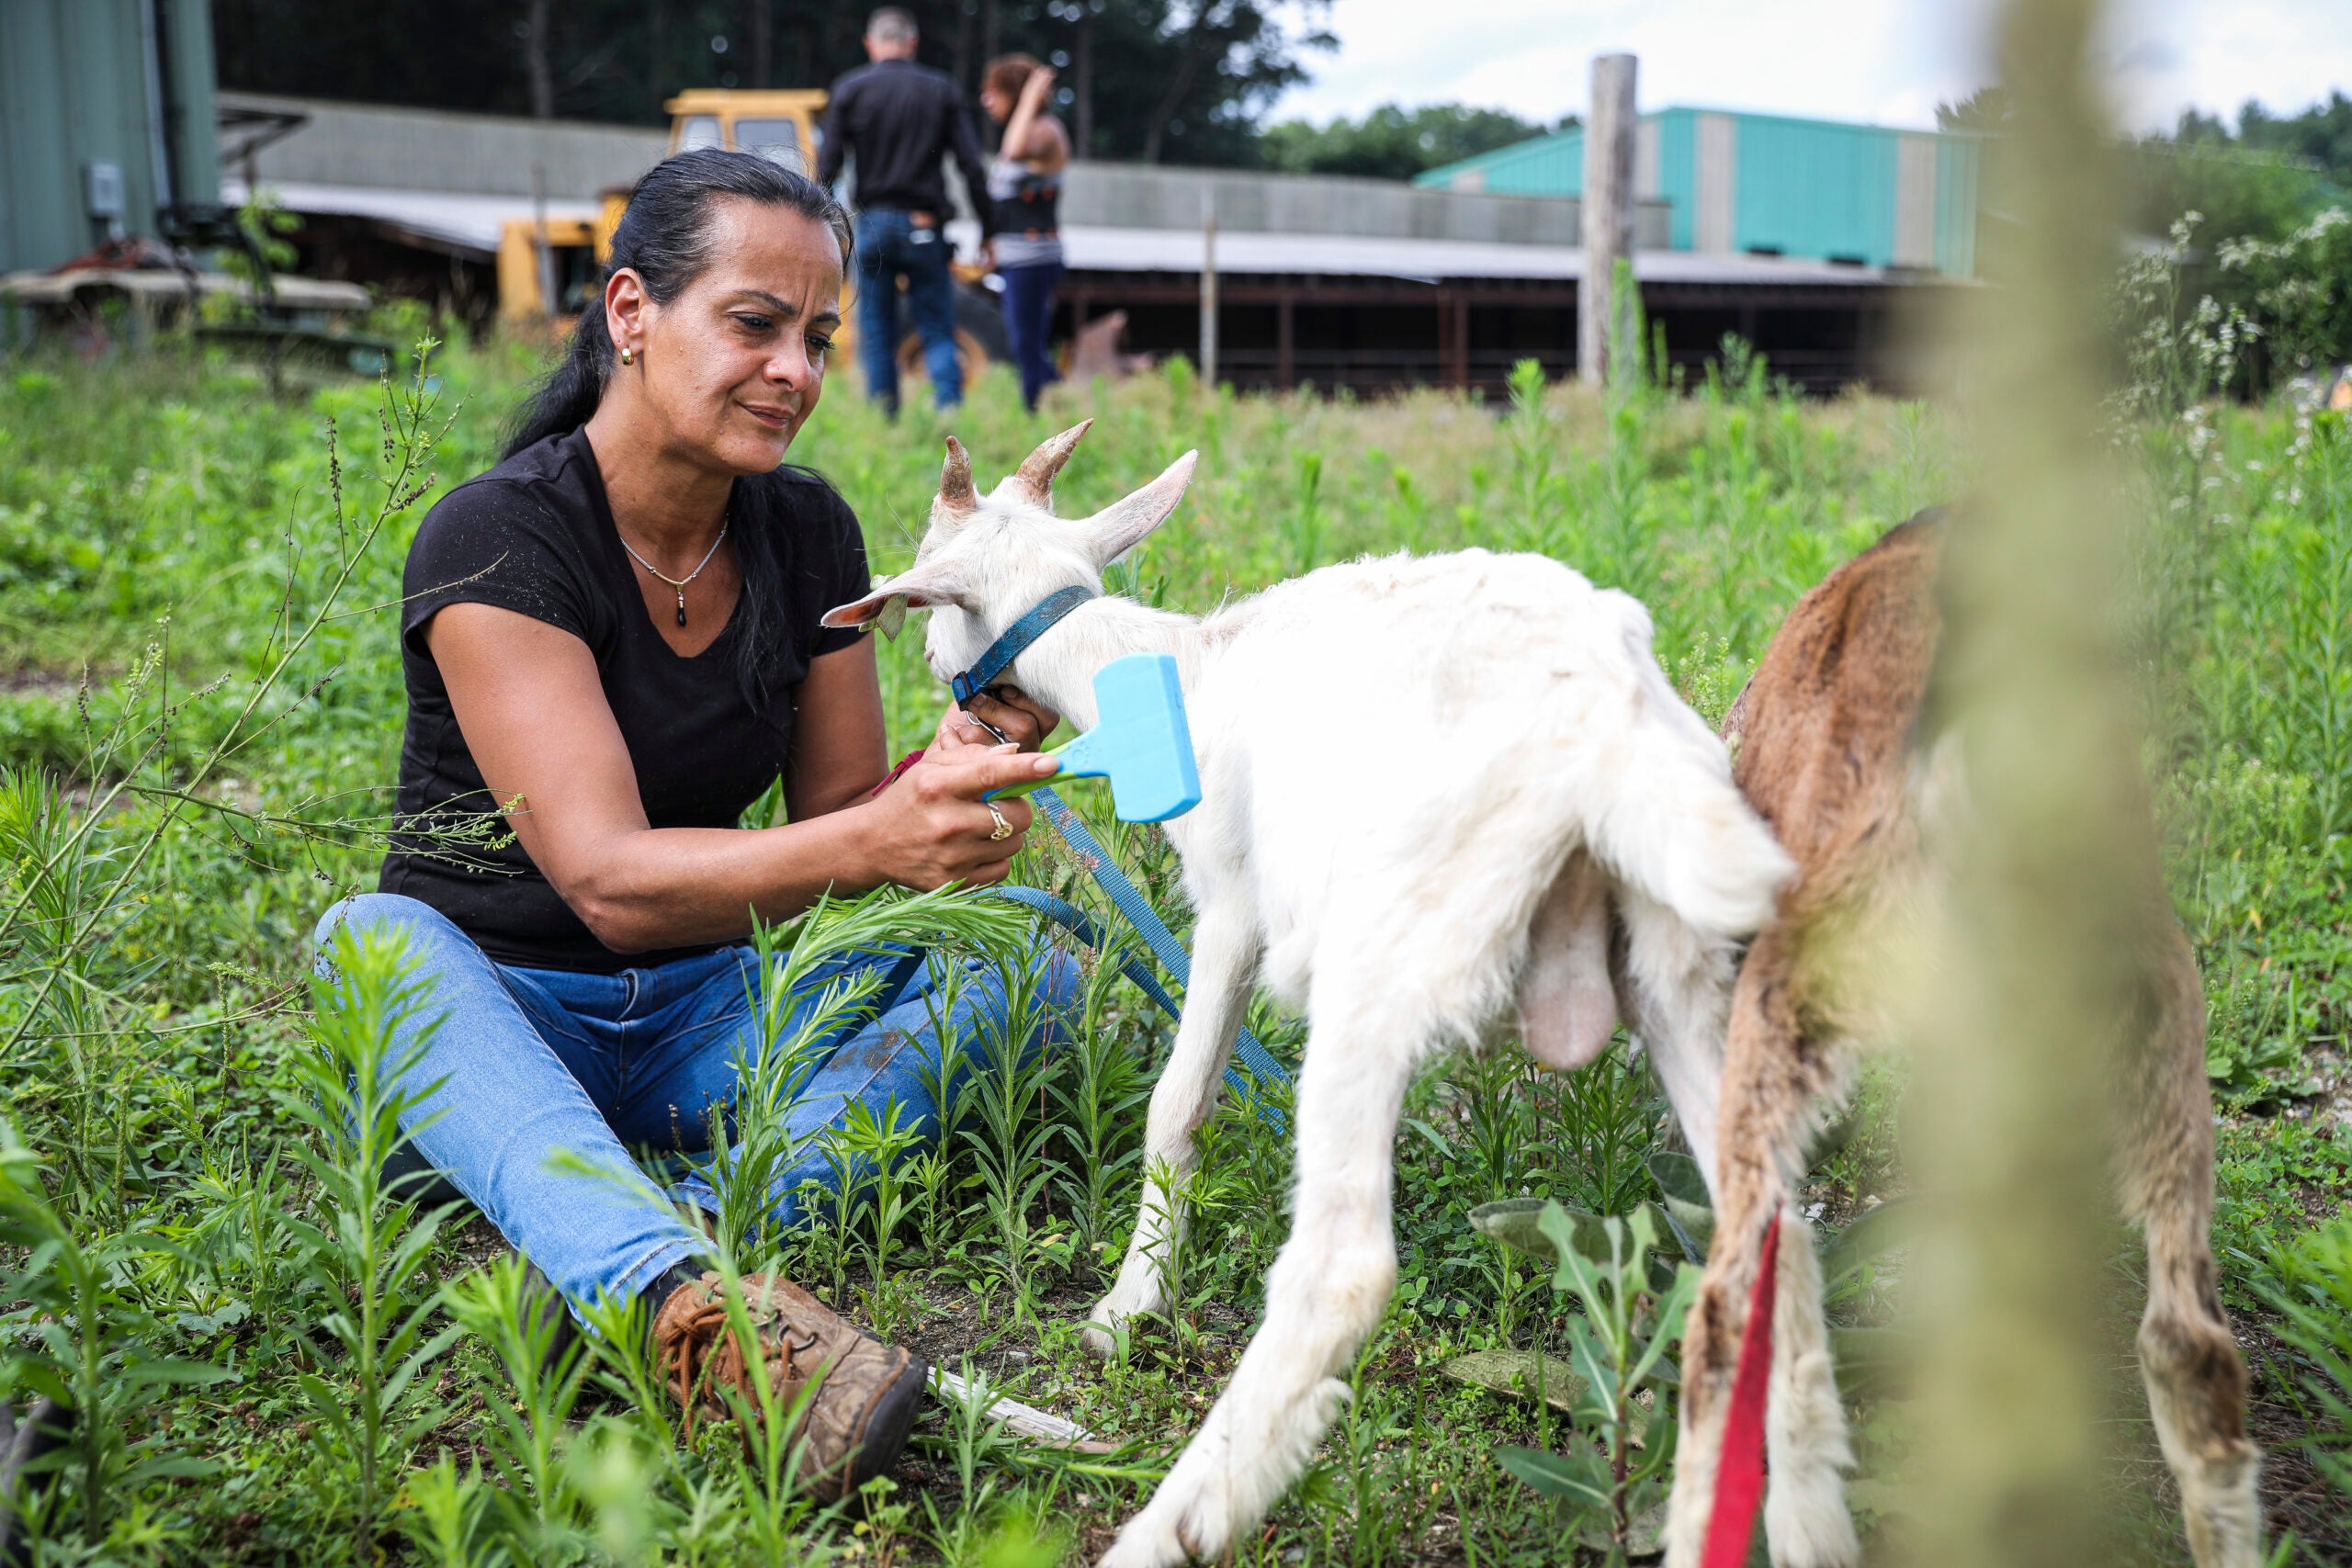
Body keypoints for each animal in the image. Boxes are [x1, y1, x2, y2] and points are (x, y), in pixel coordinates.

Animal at [818, 430, 1787, 1568]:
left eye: (925, 584)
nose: (937, 683)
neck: (1173, 667)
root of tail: (1607, 732)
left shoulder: (1231, 904)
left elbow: (1177, 1104)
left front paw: (1127, 1305)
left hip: (1380, 960)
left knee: (1342, 1268)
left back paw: (1167, 1525)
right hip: (1678, 972)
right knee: (1767, 1255)